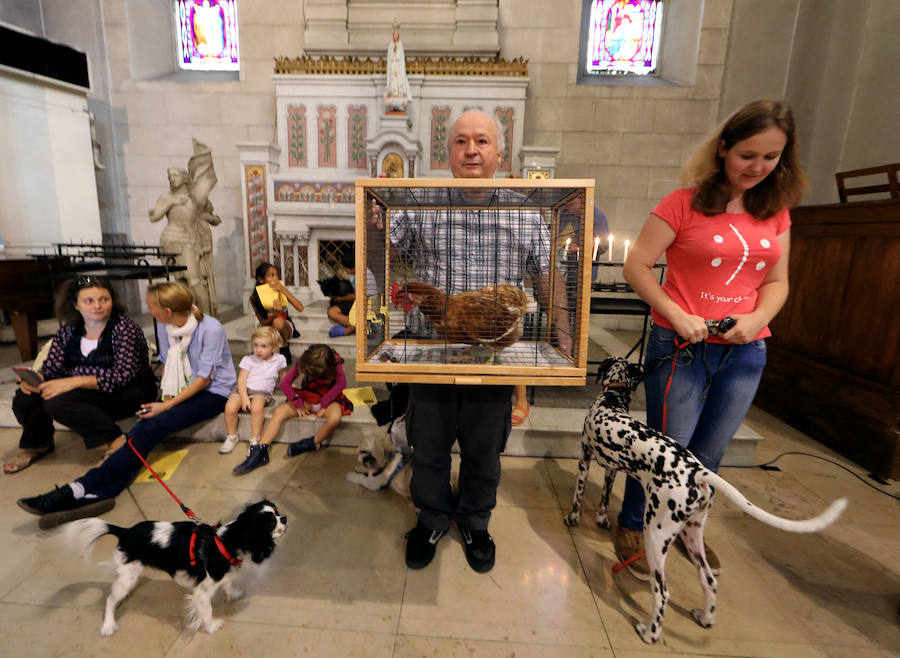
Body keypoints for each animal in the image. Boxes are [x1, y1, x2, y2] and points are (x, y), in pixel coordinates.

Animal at [568, 356, 848, 644]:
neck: (611, 400)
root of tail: (698, 471)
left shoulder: (584, 455)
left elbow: (578, 494)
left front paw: (573, 517)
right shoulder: (612, 468)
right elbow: (603, 499)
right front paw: (601, 519)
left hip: (655, 535)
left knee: (663, 593)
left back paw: (650, 632)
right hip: (691, 533)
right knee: (709, 580)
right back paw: (705, 617)